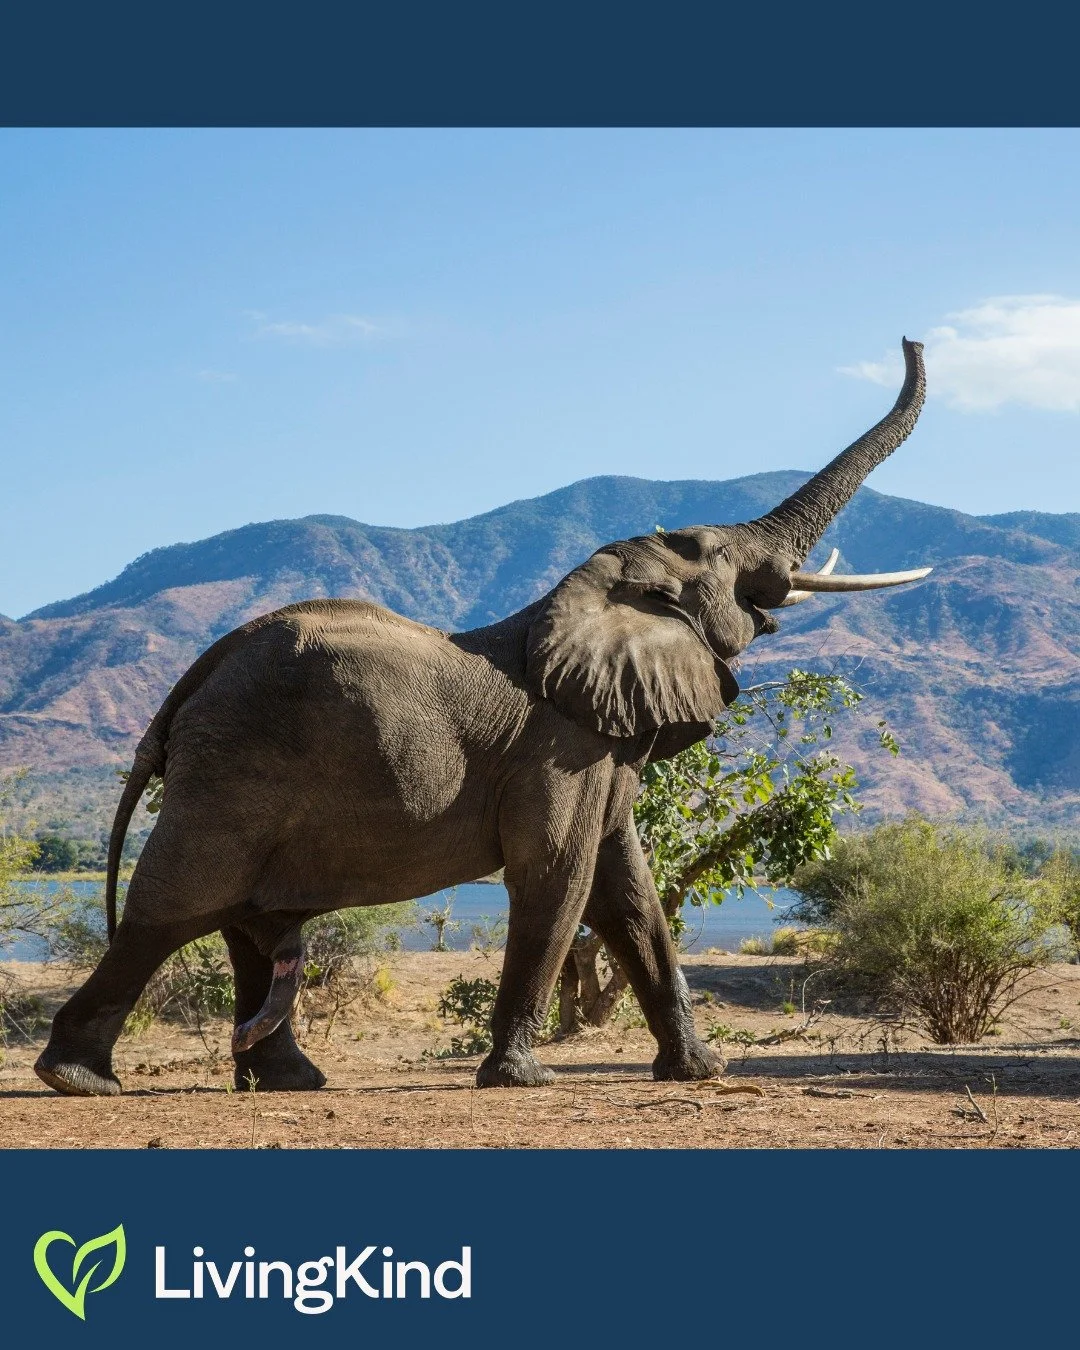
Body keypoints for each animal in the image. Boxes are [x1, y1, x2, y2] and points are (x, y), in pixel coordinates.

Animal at [36, 338, 931, 1099]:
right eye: (717, 555)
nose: (913, 339)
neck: (586, 595)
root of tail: (191, 682)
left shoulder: (601, 747)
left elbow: (629, 893)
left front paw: (699, 1073)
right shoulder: (560, 751)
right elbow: (558, 876)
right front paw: (521, 1079)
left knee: (243, 924)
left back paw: (288, 1082)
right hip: (233, 769)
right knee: (175, 908)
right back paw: (77, 1080)